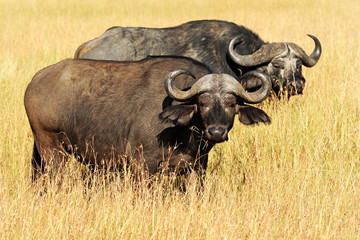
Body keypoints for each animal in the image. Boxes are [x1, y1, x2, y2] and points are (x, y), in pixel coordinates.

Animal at [25, 56, 272, 182]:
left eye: (231, 104)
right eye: (202, 103)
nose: (216, 132)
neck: (182, 133)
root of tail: (36, 81)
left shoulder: (197, 166)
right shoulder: (143, 164)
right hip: (51, 150)